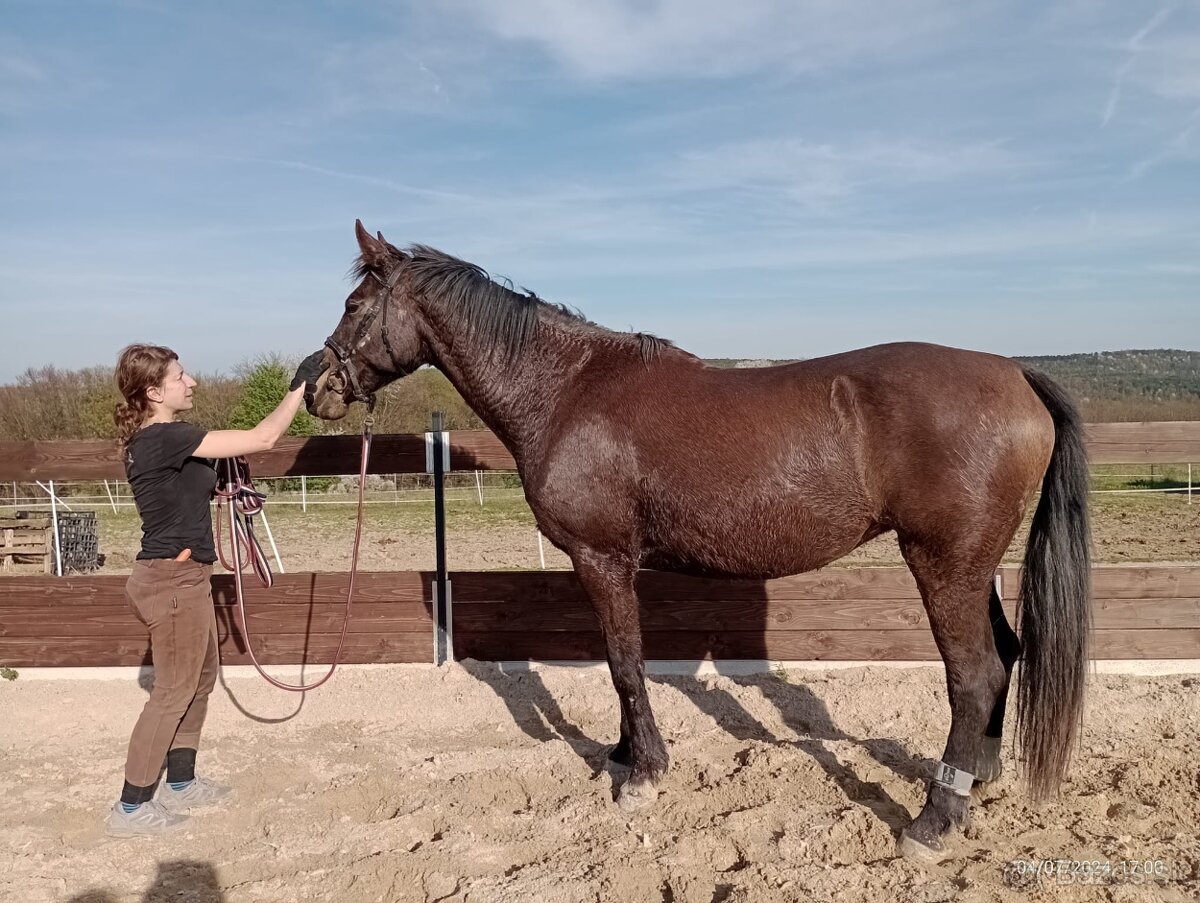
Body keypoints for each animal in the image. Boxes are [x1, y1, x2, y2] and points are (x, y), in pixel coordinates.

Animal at [304, 222, 1094, 854]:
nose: (314, 387)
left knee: (975, 674)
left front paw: (644, 773)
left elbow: (625, 662)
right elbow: (622, 663)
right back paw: (976, 782)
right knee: (1007, 656)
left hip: (943, 564)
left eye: (353, 306)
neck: (566, 389)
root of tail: (1015, 373)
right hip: (975, 566)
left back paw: (934, 819)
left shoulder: (602, 559)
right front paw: (623, 754)